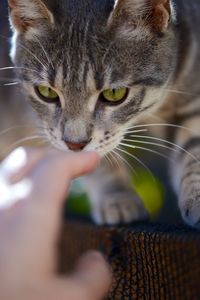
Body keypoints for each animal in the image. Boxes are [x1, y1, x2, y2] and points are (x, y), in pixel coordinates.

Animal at [7, 0, 200, 227]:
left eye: (114, 93)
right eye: (46, 92)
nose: (75, 145)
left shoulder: (190, 97)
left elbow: (194, 149)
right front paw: (118, 197)